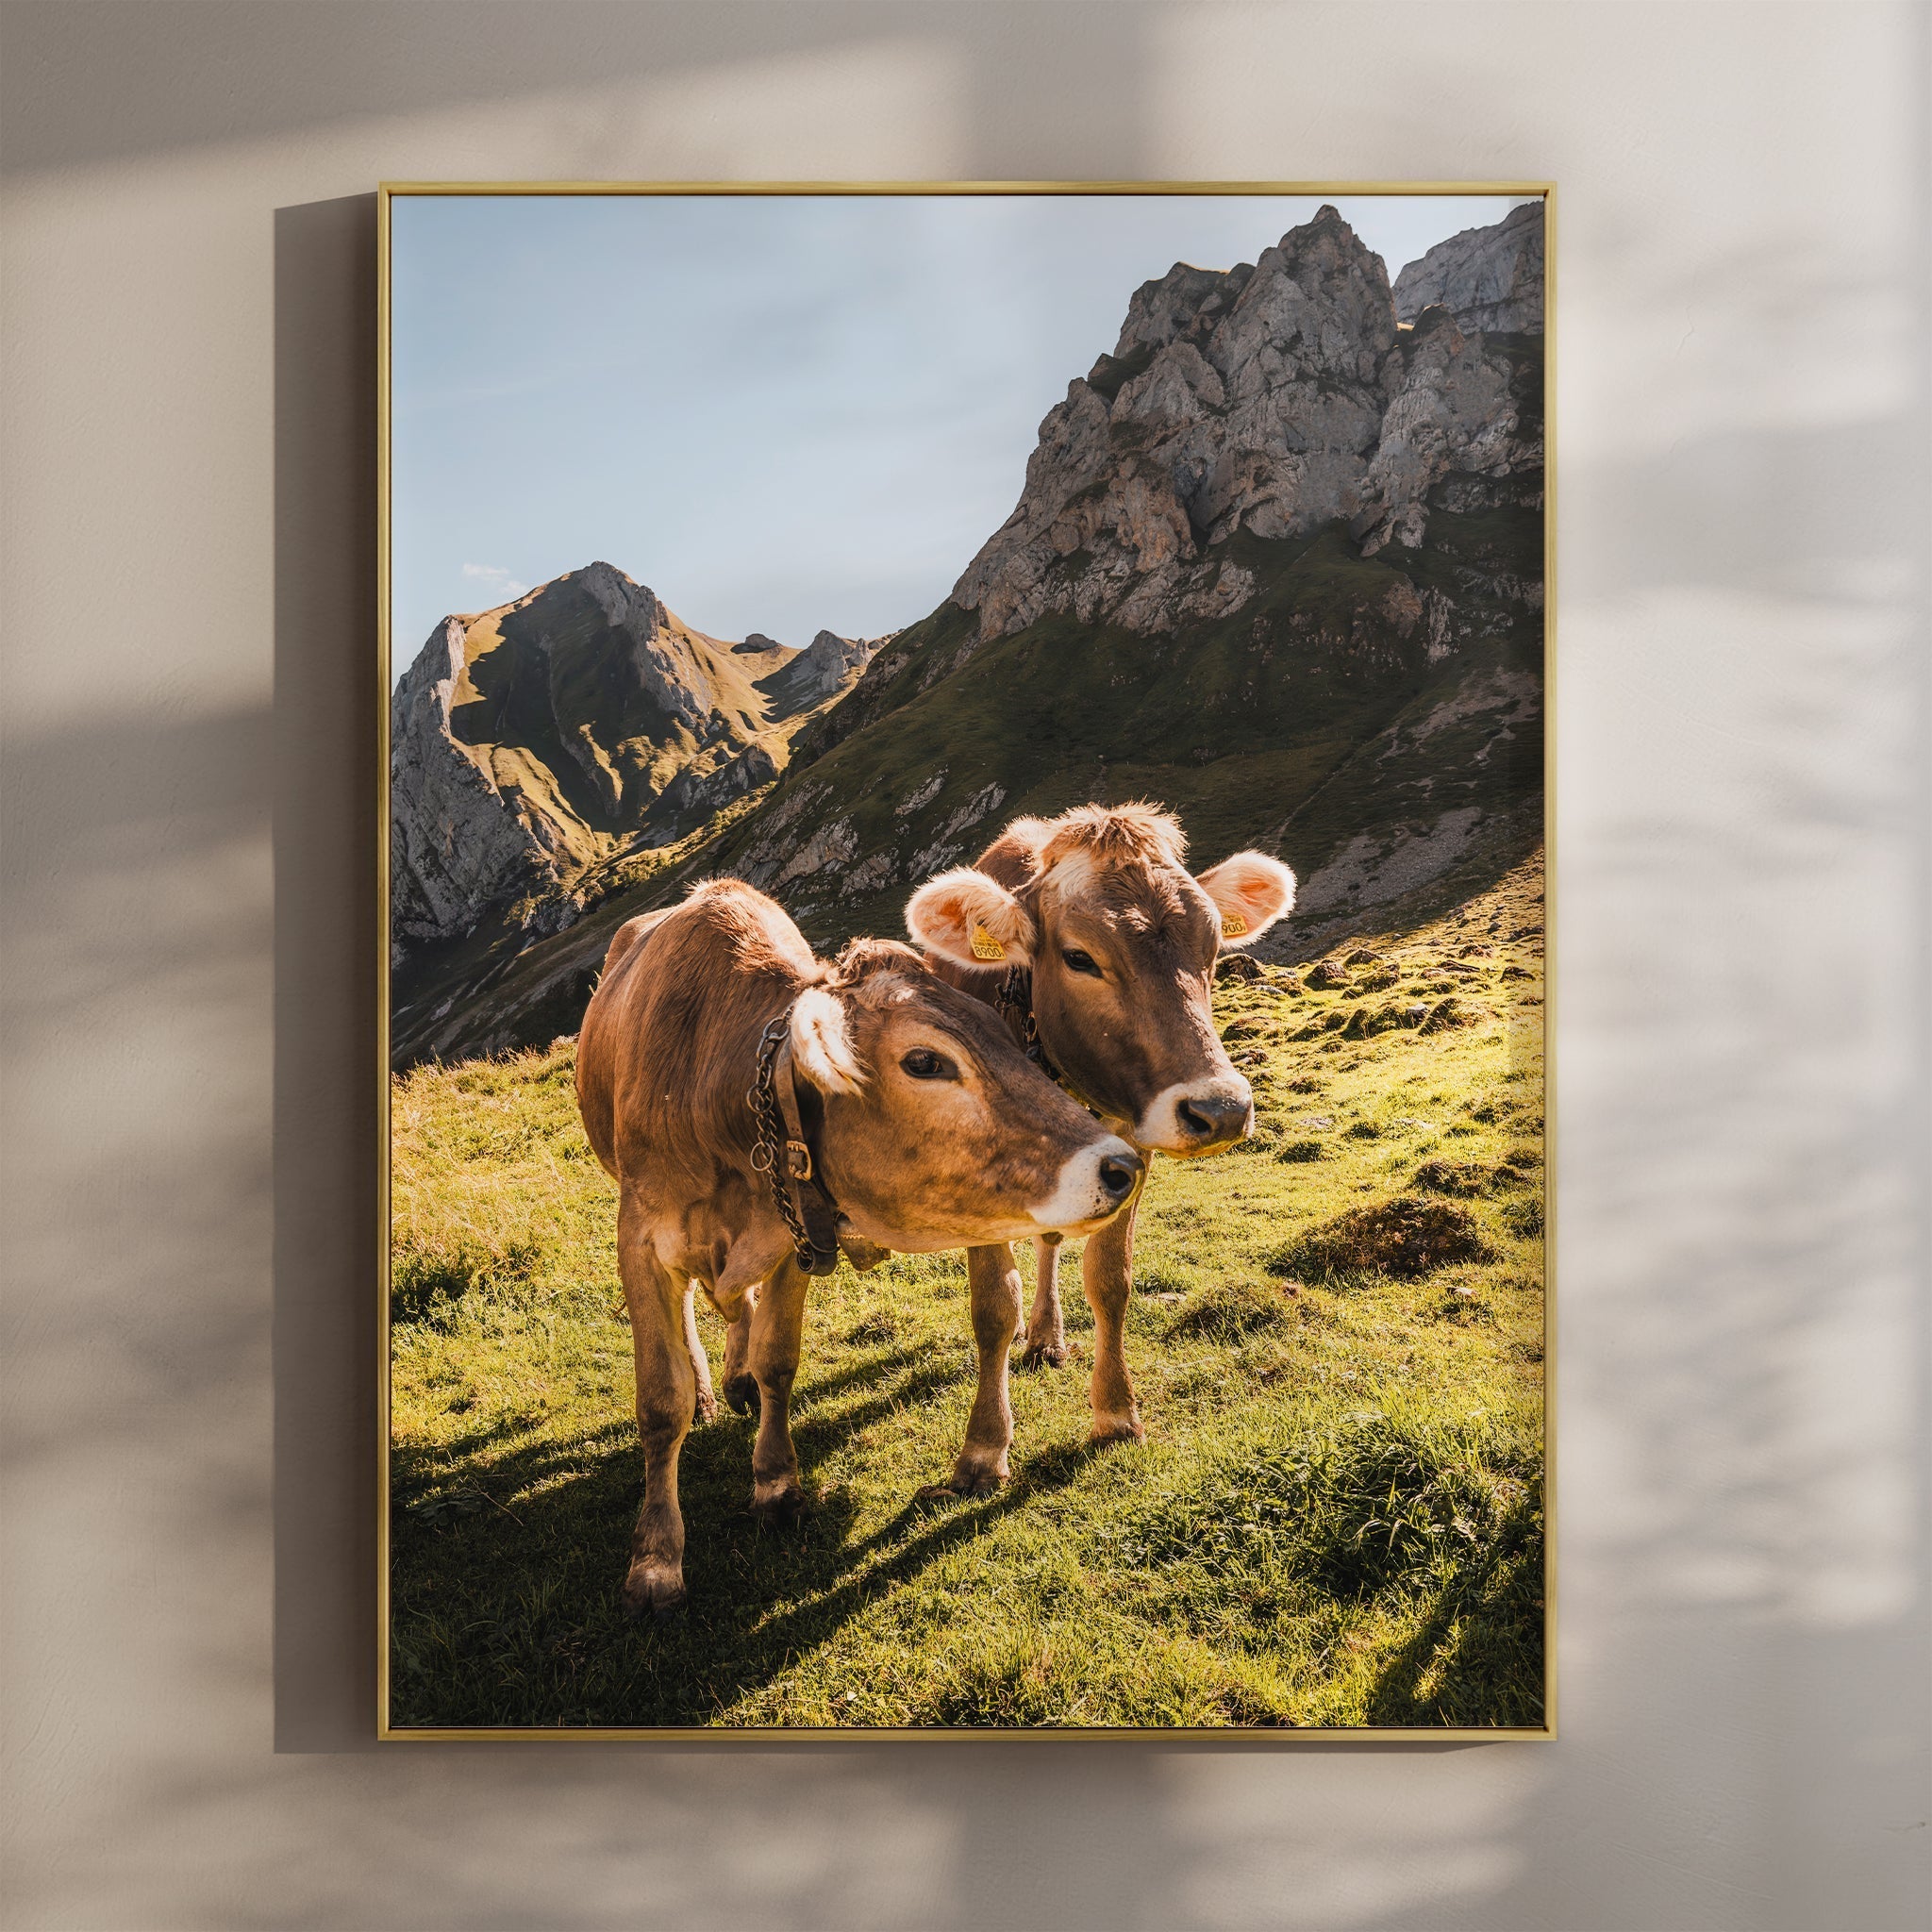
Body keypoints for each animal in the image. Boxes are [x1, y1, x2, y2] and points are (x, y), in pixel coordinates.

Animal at [575, 877, 1144, 1613]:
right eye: (925, 1061)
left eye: (1006, 1038)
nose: (1121, 1166)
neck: (710, 1084)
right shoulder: (641, 1238)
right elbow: (659, 1401)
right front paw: (655, 1560)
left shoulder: (793, 1229)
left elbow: (778, 1360)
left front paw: (776, 1484)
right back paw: (707, 1384)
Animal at [903, 803, 1296, 1491]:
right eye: (1080, 957)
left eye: (1212, 949)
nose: (1220, 1110)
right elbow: (993, 1307)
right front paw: (983, 1449)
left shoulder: (1133, 1142)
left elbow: (1110, 1279)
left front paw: (1116, 1411)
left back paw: (1047, 1335)